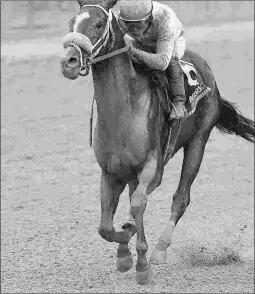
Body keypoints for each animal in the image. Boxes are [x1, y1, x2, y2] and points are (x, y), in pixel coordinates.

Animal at [60, 0, 255, 286]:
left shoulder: (154, 167)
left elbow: (137, 205)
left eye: (98, 23)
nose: (68, 61)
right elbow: (106, 226)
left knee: (180, 198)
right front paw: (125, 254)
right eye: (72, 22)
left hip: (198, 141)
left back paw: (160, 249)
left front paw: (140, 259)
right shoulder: (110, 172)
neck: (124, 111)